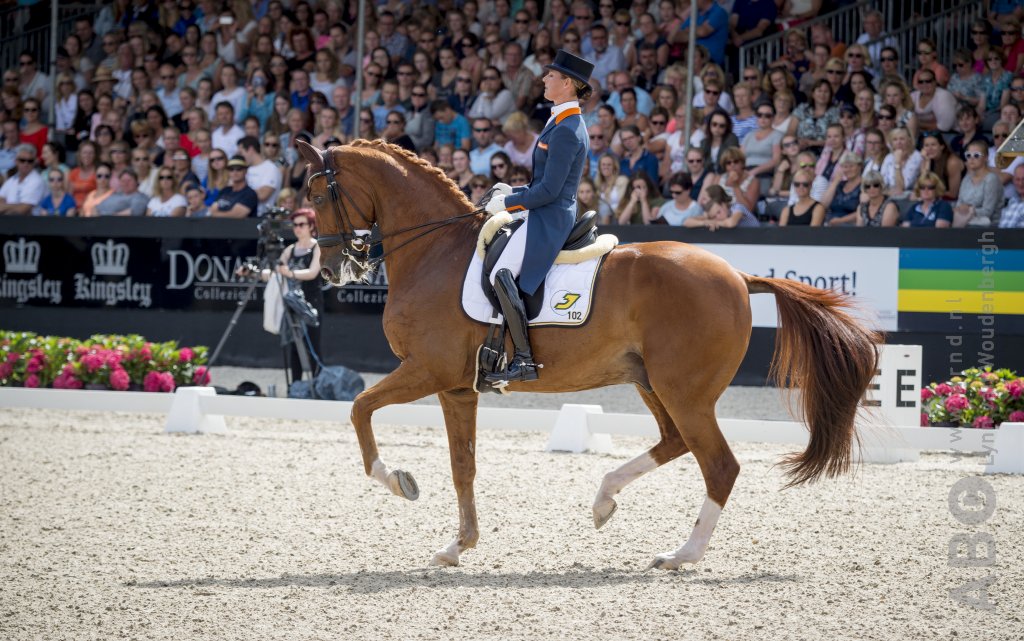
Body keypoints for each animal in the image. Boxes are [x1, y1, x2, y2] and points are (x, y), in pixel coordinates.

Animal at [294, 139, 880, 569]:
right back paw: (604, 502)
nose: (332, 270)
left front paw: (398, 481)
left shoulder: (426, 370)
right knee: (675, 443)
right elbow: (464, 466)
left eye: (317, 196)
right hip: (652, 382)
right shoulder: (458, 387)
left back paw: (681, 555)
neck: (434, 252)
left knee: (719, 465)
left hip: (684, 391)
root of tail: (737, 275)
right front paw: (457, 546)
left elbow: (359, 409)